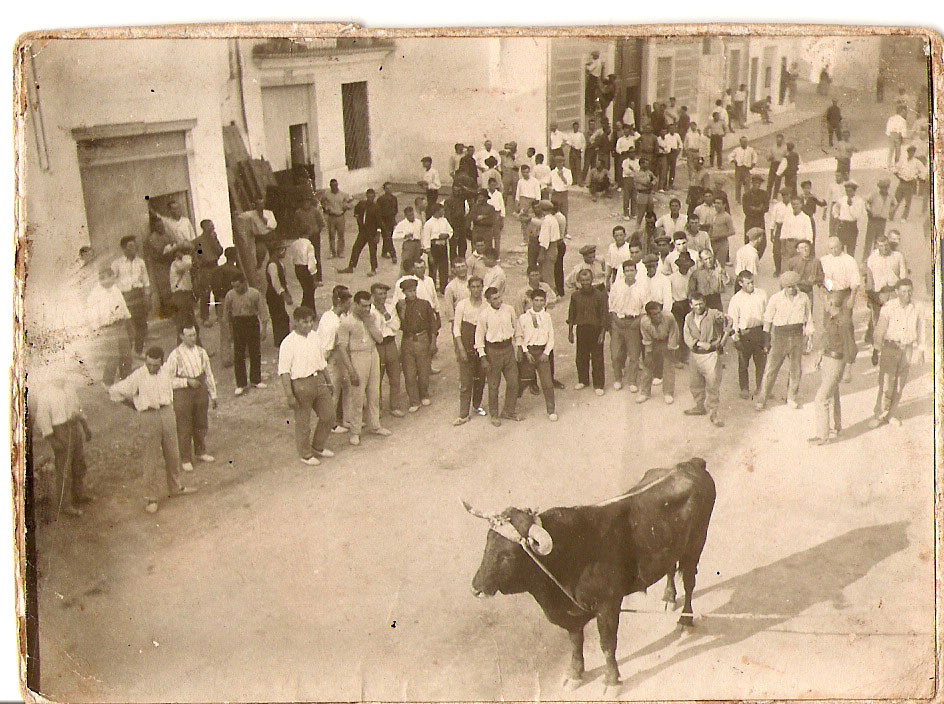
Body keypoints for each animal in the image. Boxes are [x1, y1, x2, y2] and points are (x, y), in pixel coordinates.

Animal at [464, 456, 716, 692]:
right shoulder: (571, 613)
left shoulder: (608, 605)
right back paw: (668, 597)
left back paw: (685, 621)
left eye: (507, 555)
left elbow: (607, 644)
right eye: (488, 544)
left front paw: (611, 681)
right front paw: (574, 674)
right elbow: (575, 642)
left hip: (696, 543)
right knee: (670, 568)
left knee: (690, 582)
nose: (476, 588)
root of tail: (690, 465)